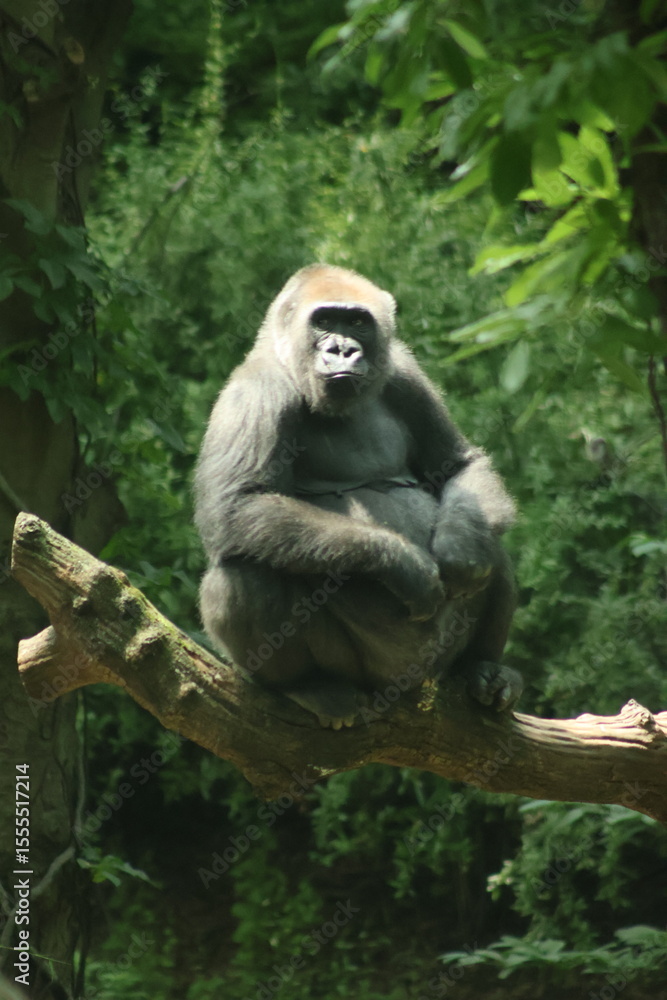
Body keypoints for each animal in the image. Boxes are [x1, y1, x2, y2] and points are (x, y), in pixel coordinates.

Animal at [194, 264, 522, 728]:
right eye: (325, 321)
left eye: (357, 323)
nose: (343, 350)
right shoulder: (255, 389)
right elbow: (238, 505)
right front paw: (403, 565)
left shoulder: (404, 372)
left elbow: (459, 466)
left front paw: (460, 549)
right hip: (368, 674)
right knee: (244, 570)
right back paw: (305, 686)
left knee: (489, 539)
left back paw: (482, 669)